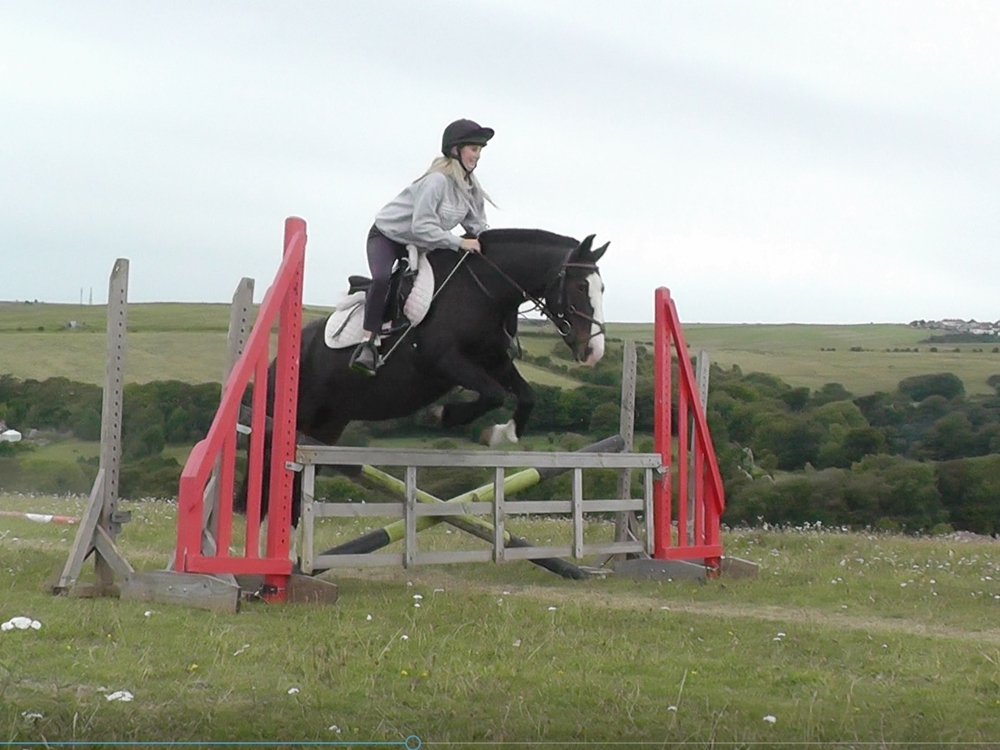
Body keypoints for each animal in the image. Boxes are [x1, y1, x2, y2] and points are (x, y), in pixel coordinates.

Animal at [237, 227, 609, 522]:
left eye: (601, 289)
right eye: (579, 286)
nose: (594, 351)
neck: (482, 292)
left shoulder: (495, 363)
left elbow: (525, 395)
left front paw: (503, 434)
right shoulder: (444, 361)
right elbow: (493, 394)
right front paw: (444, 415)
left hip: (325, 426)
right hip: (294, 413)